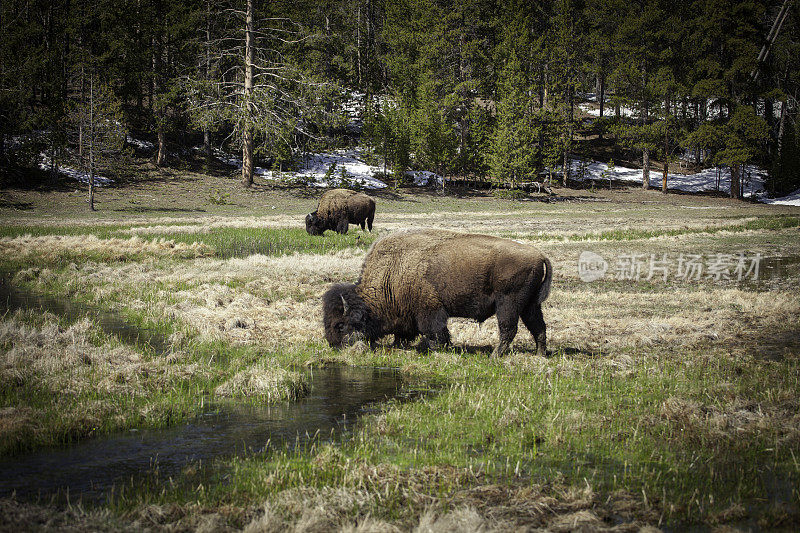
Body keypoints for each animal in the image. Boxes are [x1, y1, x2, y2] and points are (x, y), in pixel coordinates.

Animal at [322, 228, 552, 356]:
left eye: (340, 325)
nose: (333, 345)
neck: (393, 270)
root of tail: (539, 255)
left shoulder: (430, 311)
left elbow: (435, 332)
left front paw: (435, 348)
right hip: (530, 305)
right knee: (538, 327)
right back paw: (540, 354)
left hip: (508, 304)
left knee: (508, 329)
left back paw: (495, 355)